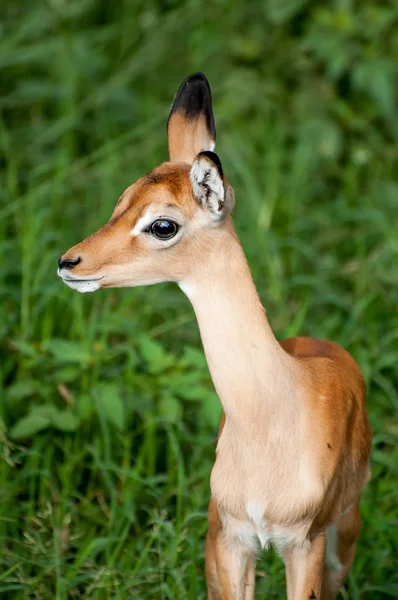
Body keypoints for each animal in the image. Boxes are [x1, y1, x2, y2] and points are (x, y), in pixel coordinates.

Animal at [57, 72, 372, 596]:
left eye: (162, 224)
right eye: (122, 202)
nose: (69, 262)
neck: (271, 418)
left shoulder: (303, 543)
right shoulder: (233, 537)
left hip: (342, 535)